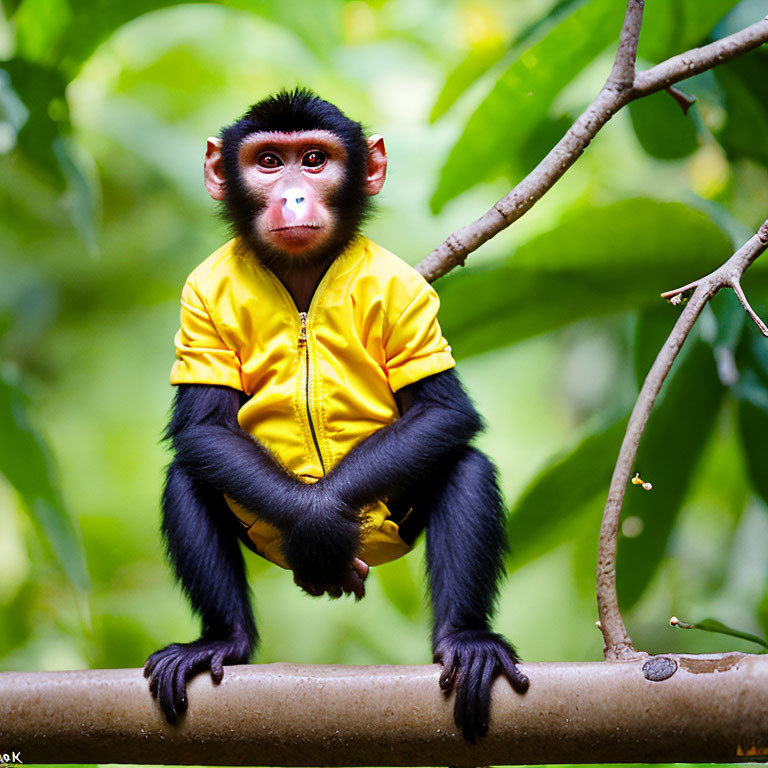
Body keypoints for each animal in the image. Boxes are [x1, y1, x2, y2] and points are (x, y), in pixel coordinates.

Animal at [144, 87, 528, 740]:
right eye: (269, 161)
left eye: (315, 160)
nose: (295, 192)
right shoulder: (200, 293)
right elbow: (203, 427)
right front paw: (318, 524)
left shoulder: (405, 293)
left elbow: (443, 412)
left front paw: (323, 521)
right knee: (189, 476)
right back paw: (223, 640)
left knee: (464, 466)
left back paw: (467, 640)